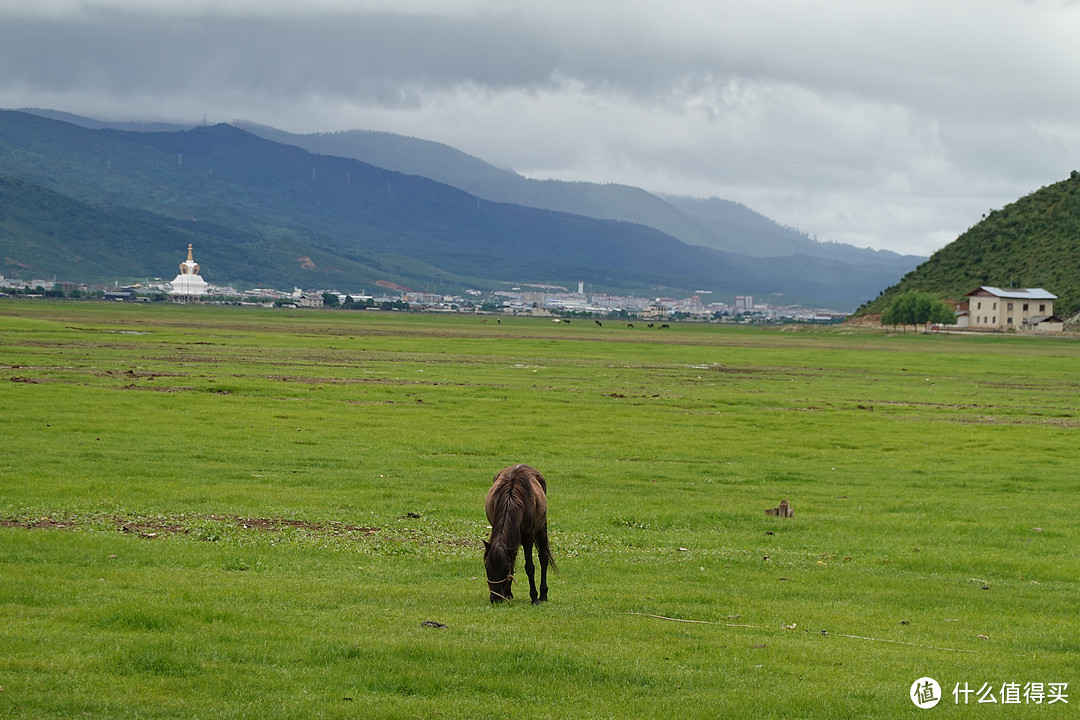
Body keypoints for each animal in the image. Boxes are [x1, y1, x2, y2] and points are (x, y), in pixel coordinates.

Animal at [488, 468, 557, 604]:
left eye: (504, 569)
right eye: (487, 567)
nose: (496, 598)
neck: (511, 499)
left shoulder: (528, 539)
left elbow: (530, 567)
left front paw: (534, 597)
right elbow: (512, 562)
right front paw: (508, 592)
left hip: (541, 527)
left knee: (543, 557)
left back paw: (543, 594)